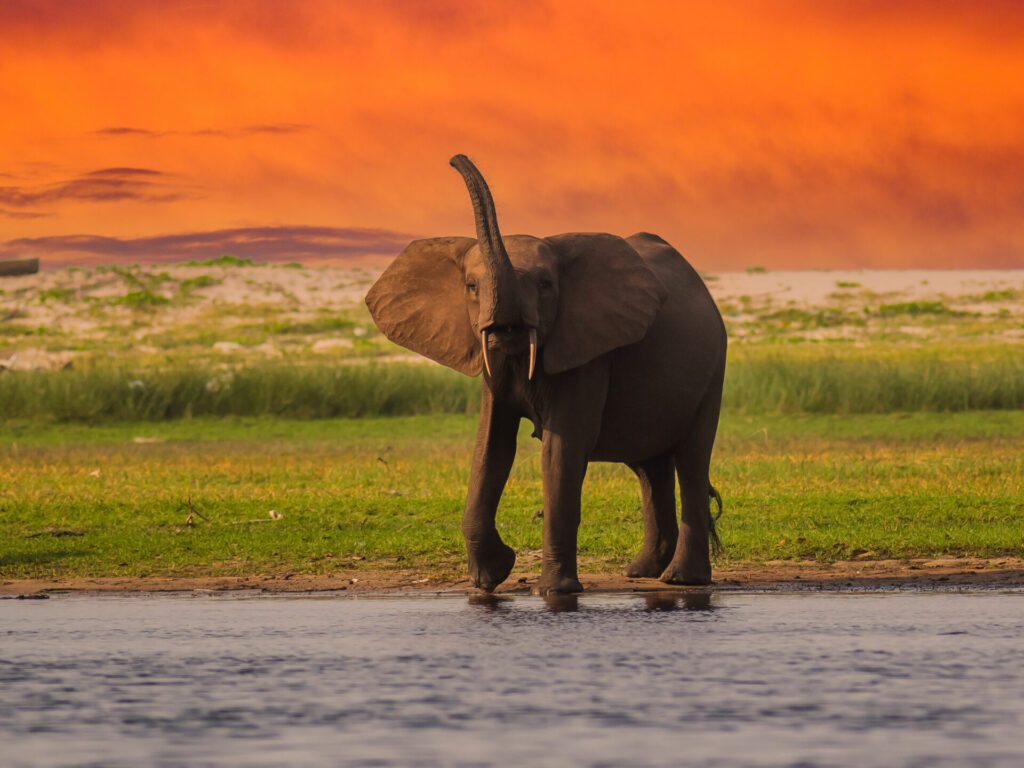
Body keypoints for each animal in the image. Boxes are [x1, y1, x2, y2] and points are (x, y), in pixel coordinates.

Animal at [364, 154, 724, 593]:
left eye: (546, 284)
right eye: (471, 286)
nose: (454, 159)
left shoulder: (586, 352)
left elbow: (561, 449)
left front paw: (555, 591)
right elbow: (490, 446)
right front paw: (490, 577)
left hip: (713, 367)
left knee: (691, 461)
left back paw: (681, 580)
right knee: (649, 467)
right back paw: (641, 572)